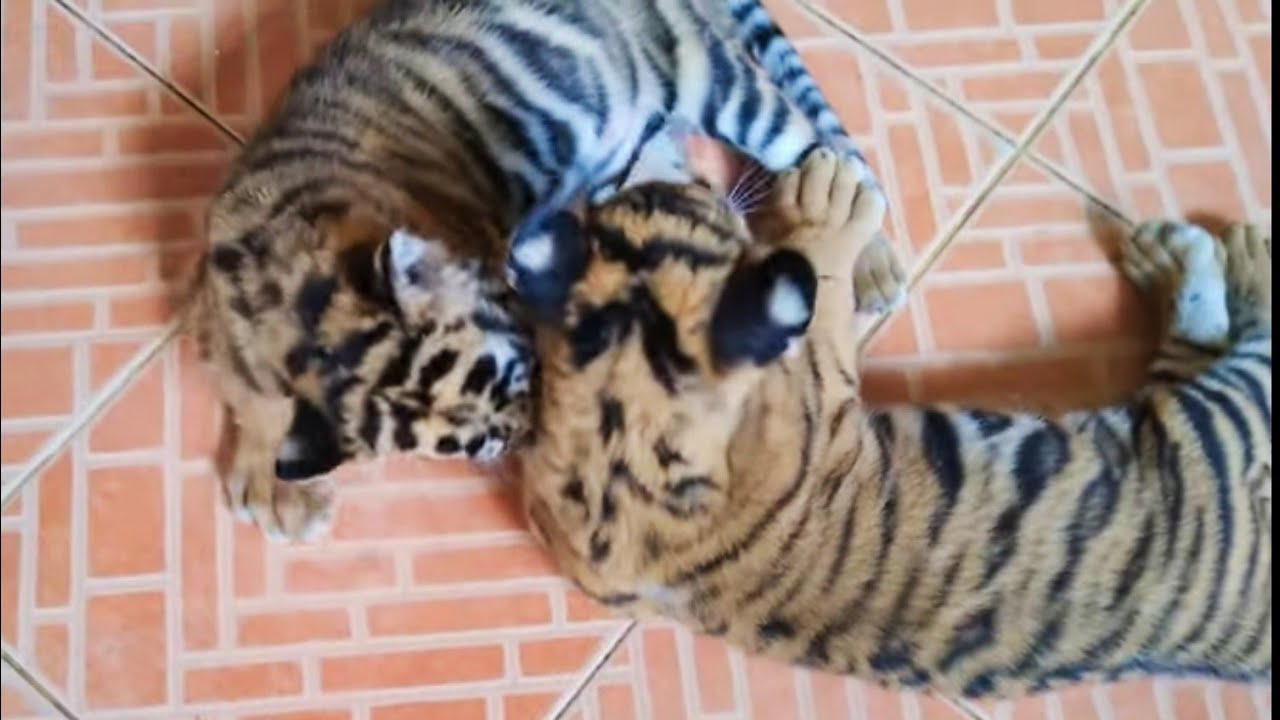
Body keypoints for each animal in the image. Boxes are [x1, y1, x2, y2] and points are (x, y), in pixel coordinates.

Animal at [190, 0, 910, 541]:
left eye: (517, 370)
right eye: (478, 446)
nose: (529, 435)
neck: (296, 287)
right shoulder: (225, 307)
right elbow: (253, 391)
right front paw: (272, 478)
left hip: (714, 81)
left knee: (821, 149)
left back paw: (861, 249)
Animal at [515, 149, 1272, 699]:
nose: (676, 170)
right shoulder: (816, 368)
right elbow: (821, 281)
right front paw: (831, 196)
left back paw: (1168, 257)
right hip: (1228, 420)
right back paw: (1232, 254)